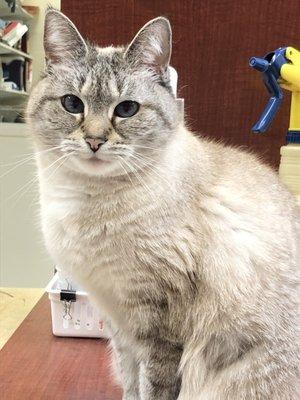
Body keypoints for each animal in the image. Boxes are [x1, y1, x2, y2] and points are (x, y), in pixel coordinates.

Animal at [27, 7, 298, 398]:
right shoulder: (119, 321)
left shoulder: (160, 330)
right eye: (72, 104)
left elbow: (153, 387)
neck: (90, 200)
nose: (94, 141)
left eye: (126, 109)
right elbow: (130, 383)